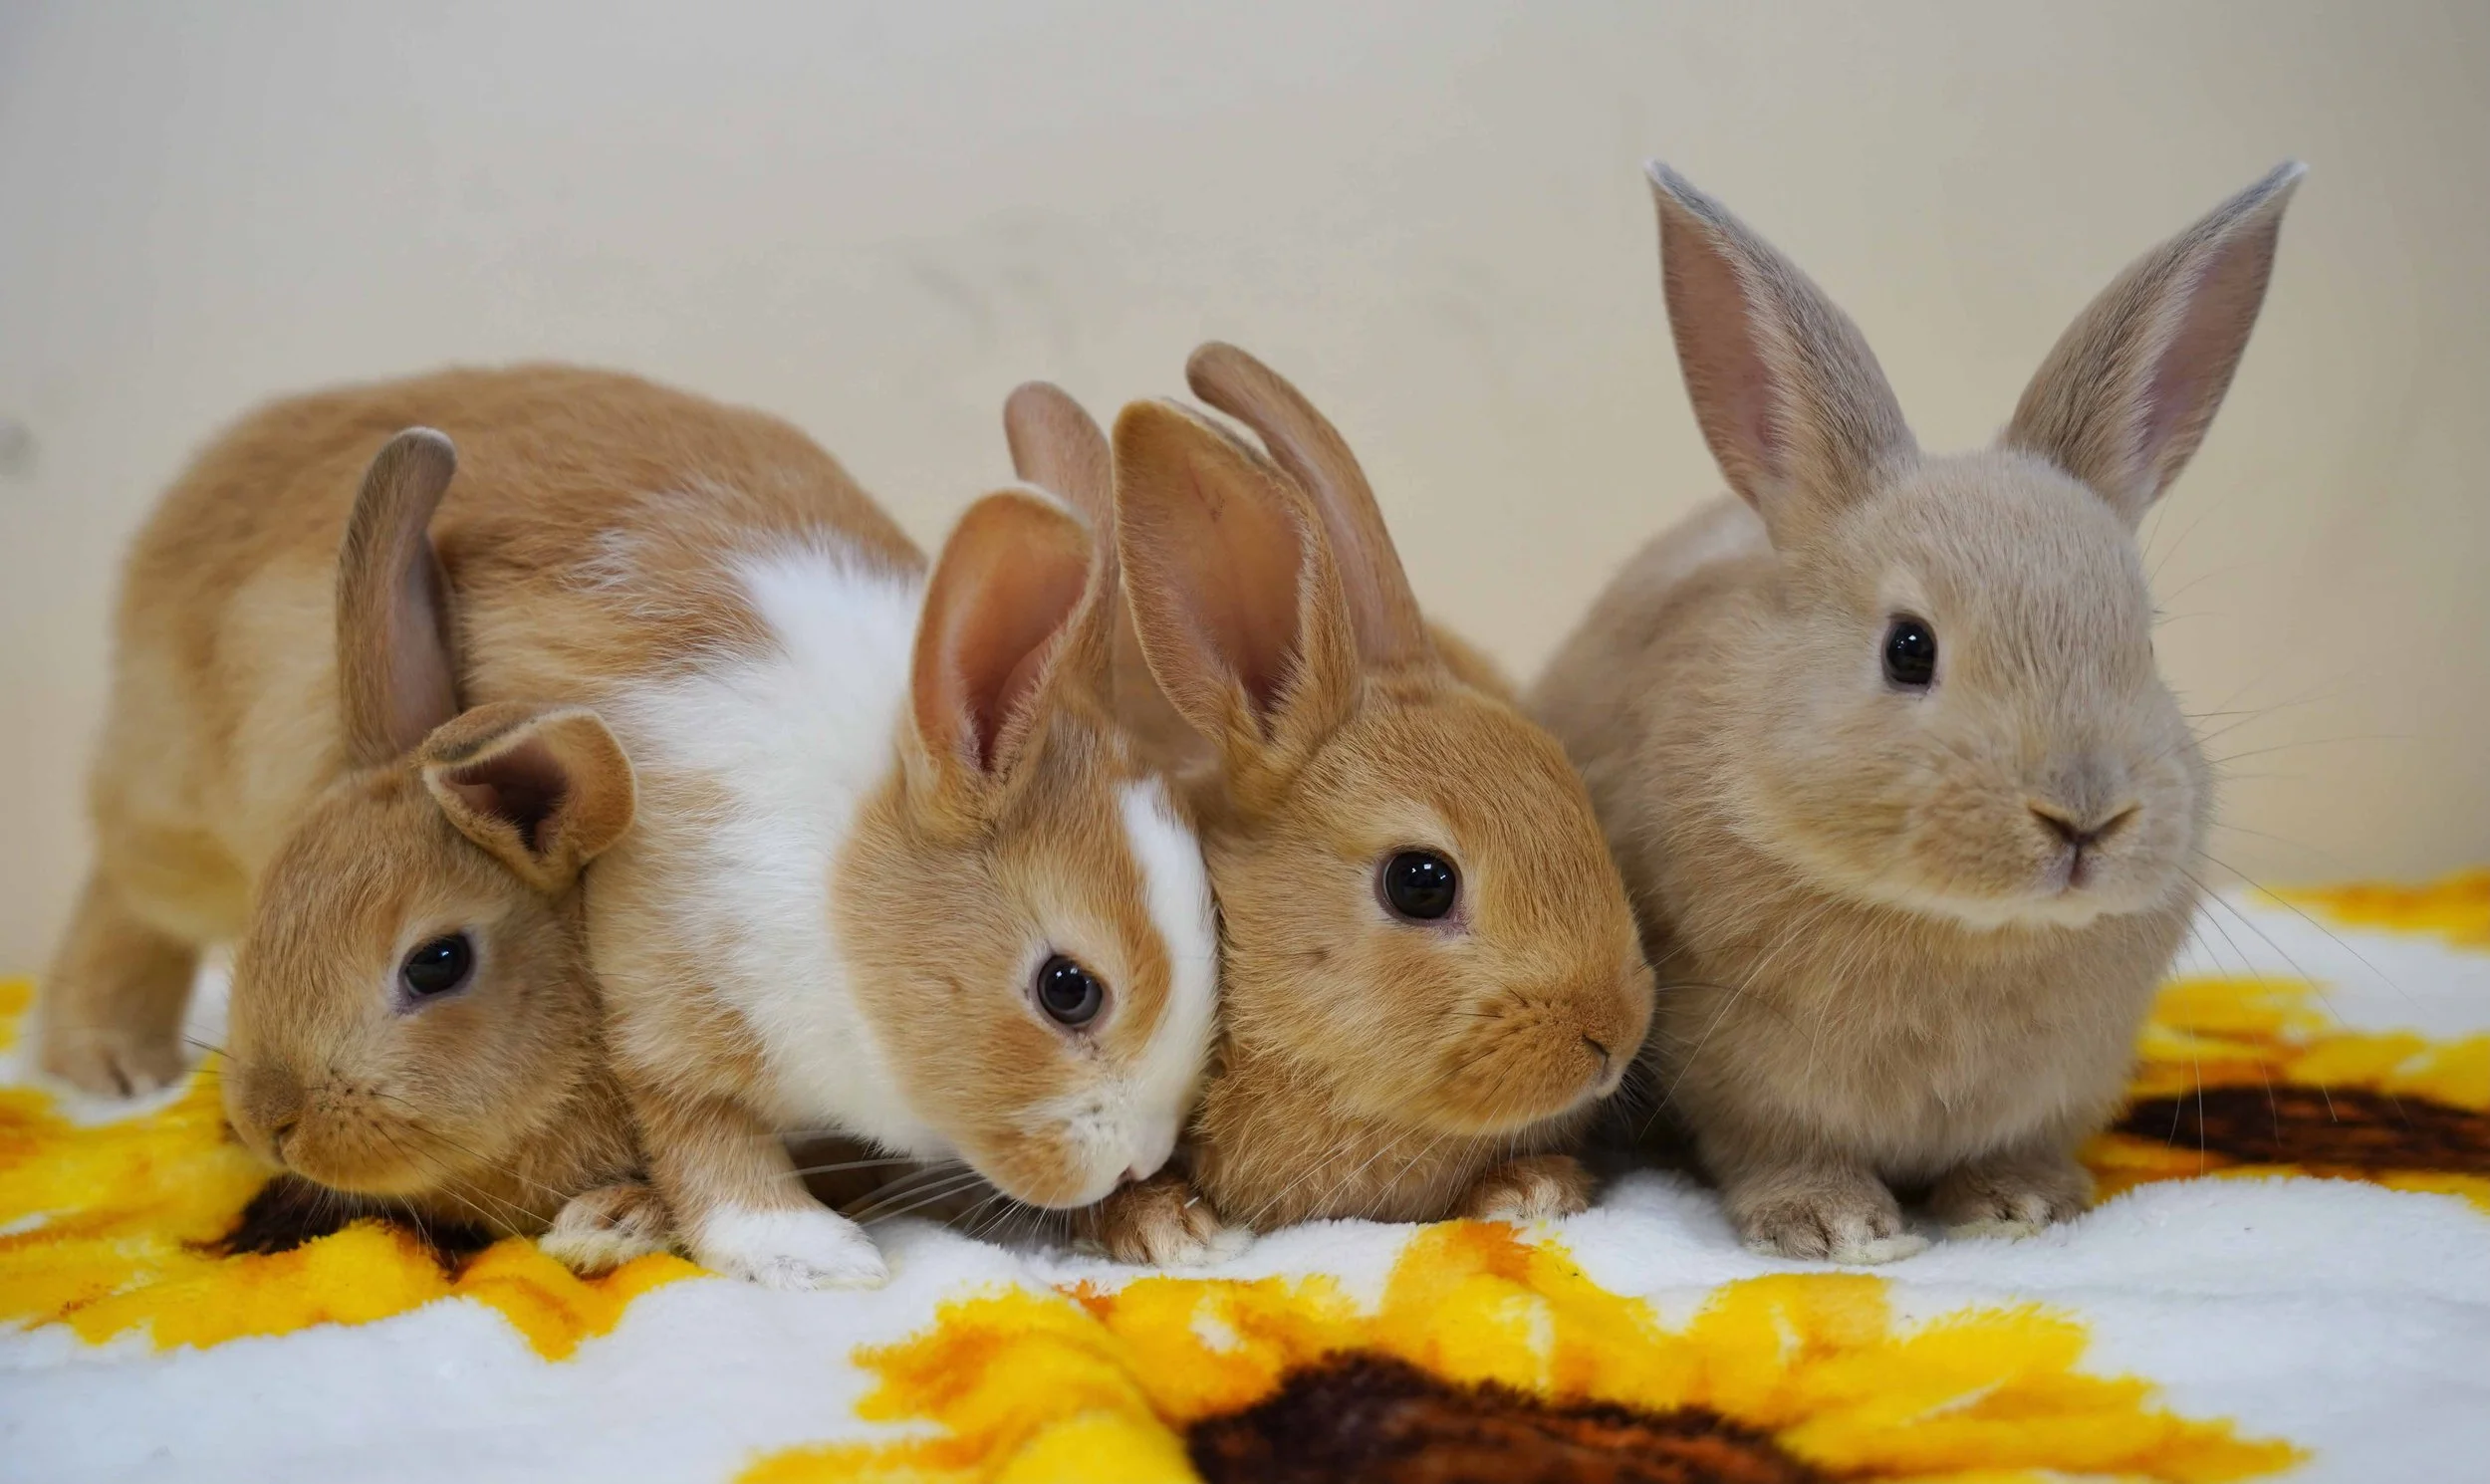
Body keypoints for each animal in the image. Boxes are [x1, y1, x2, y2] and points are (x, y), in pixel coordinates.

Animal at [30, 368, 746, 1271]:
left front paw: (607, 1225)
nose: (270, 1122)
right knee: (126, 891)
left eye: (437, 964)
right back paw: (111, 1064)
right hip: (179, 796)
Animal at [577, 426, 1220, 1290]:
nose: (1139, 1162)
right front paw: (816, 1256)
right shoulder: (655, 969)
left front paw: (1170, 1225)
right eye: (1068, 990)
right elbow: (698, 1119)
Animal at [1531, 163, 2305, 1262]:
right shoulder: (1744, 1079)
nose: (2084, 817)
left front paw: (2022, 1203)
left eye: (2145, 643)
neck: (1966, 930)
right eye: (1909, 648)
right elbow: (1780, 1147)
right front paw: (1833, 1223)